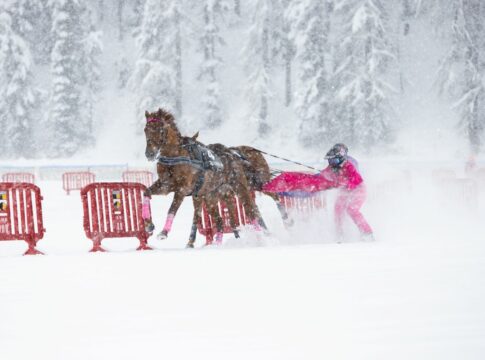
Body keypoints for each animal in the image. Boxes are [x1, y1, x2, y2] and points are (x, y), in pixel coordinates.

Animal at [144, 108, 264, 246]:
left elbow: (172, 208)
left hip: (239, 187)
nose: (149, 154)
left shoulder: (182, 189)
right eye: (146, 129)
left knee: (251, 212)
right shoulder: (165, 185)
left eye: (160, 129)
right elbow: (146, 192)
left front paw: (164, 232)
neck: (175, 156)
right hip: (211, 196)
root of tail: (232, 154)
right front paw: (149, 224)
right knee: (219, 220)